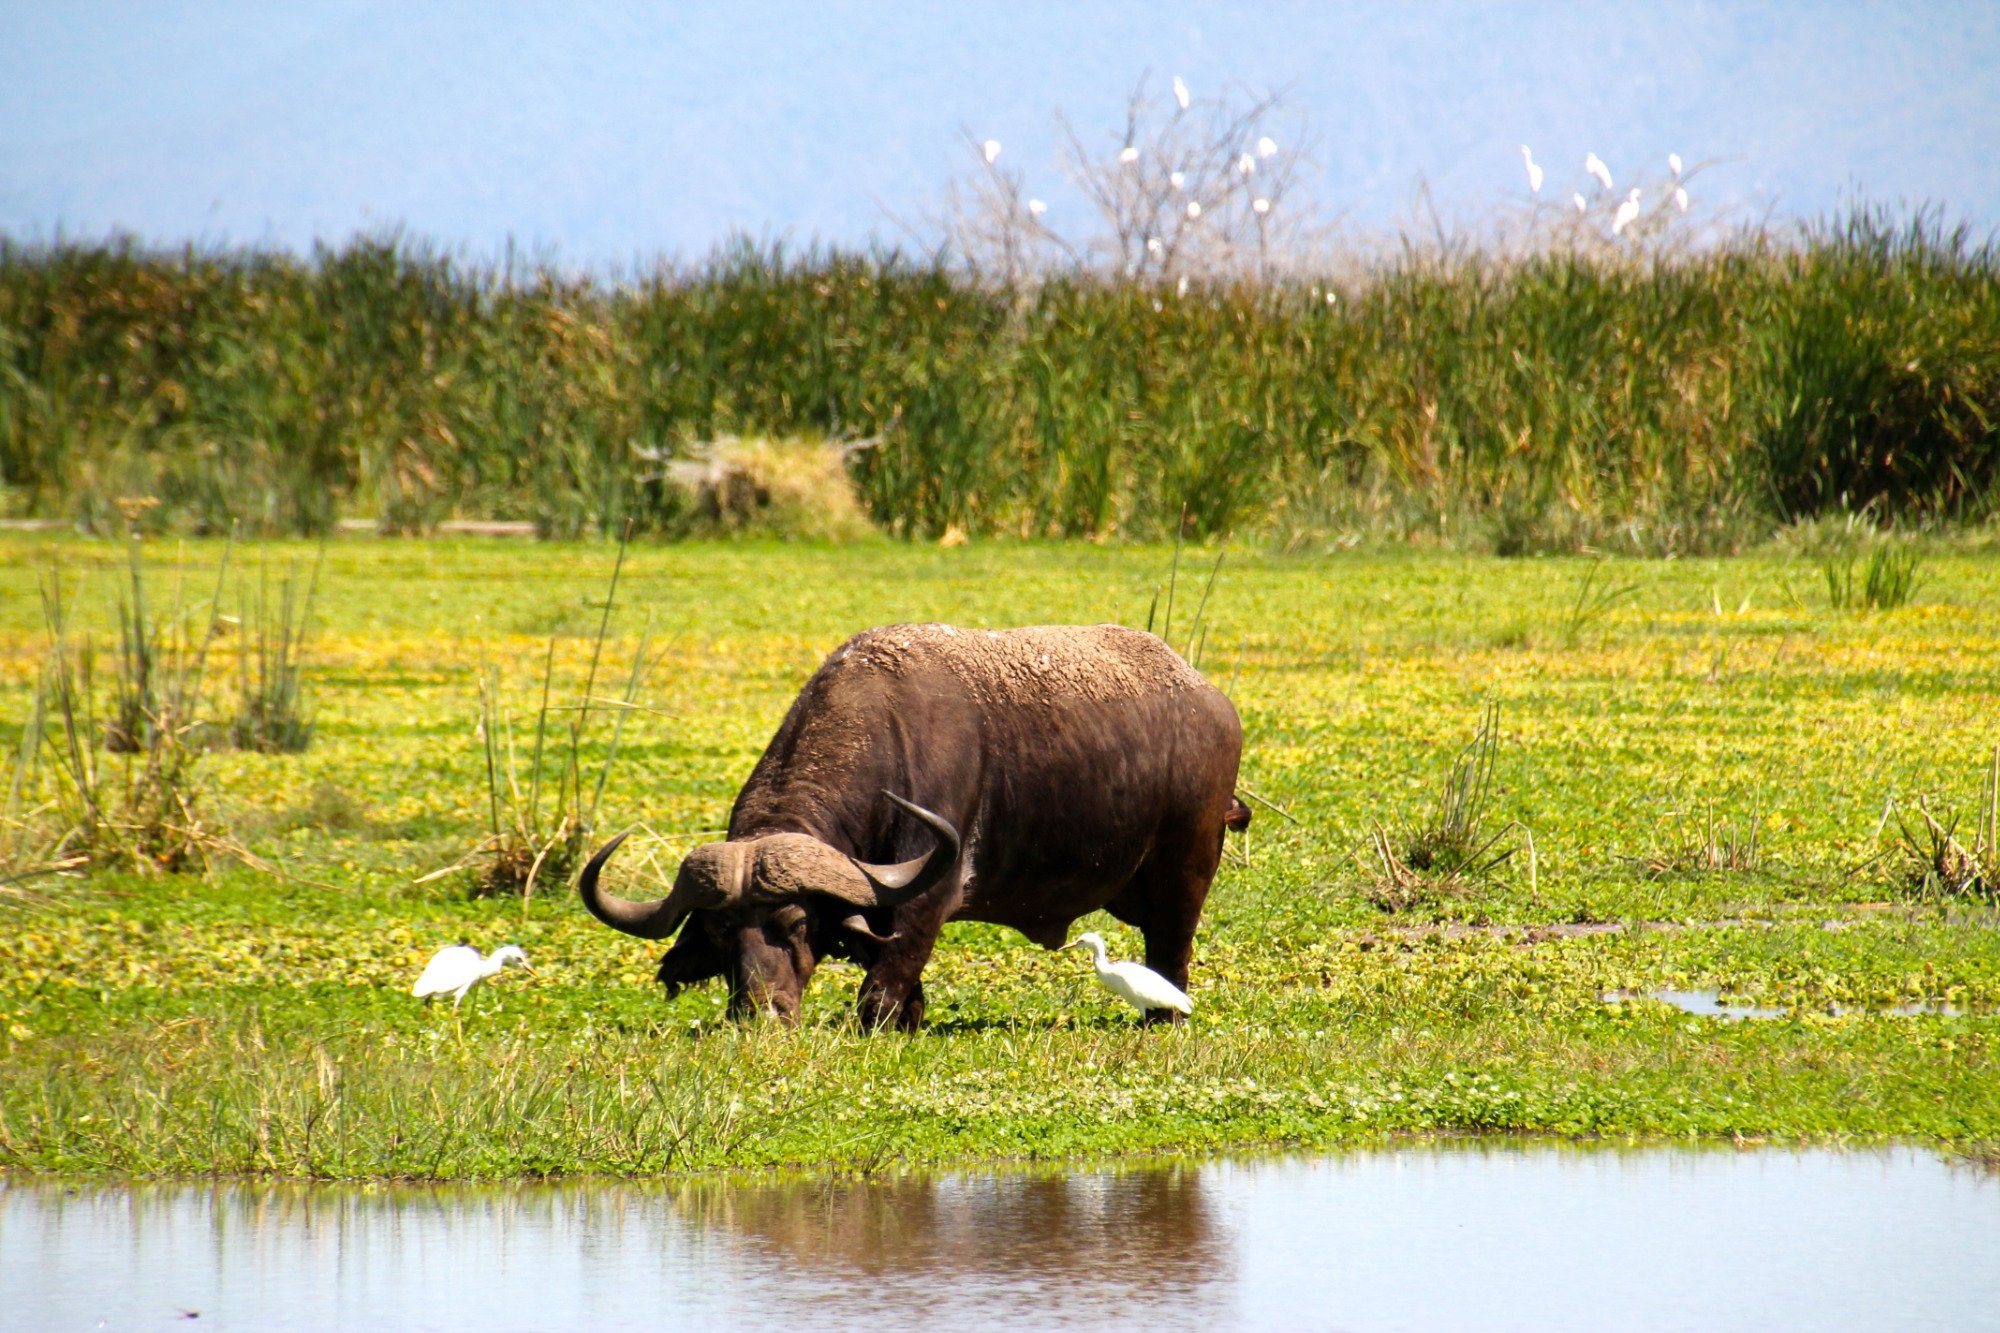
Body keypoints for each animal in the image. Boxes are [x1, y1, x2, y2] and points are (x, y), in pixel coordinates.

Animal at [578, 622, 1248, 1029]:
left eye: (795, 923)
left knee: (1171, 949)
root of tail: (1211, 699)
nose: (762, 1013)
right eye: (719, 932)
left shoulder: (929, 890)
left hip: (1186, 872)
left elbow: (883, 983)